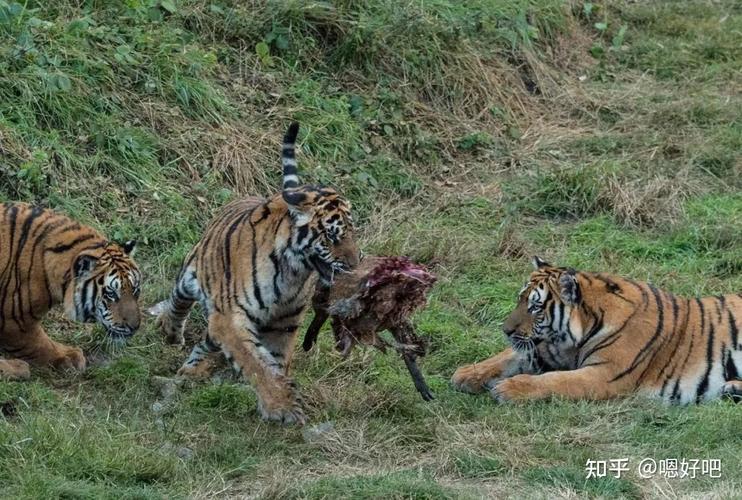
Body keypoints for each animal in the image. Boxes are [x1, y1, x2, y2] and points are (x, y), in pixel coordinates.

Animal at [0, 202, 142, 380]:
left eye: (135, 290)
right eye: (111, 294)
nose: (134, 327)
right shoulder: (15, 320)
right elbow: (40, 343)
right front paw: (68, 357)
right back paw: (18, 368)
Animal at [151, 122, 360, 425]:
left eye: (353, 233)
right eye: (333, 236)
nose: (356, 263)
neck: (292, 272)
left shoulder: (284, 321)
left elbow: (274, 360)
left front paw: (278, 399)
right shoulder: (230, 317)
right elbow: (255, 363)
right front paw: (282, 406)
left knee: (206, 342)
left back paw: (192, 370)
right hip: (191, 277)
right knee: (178, 302)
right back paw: (169, 331)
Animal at [452, 257, 742, 404]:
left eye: (535, 307)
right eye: (519, 300)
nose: (506, 331)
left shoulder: (605, 374)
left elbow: (556, 380)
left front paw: (508, 389)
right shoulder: (546, 349)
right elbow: (509, 356)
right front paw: (467, 374)